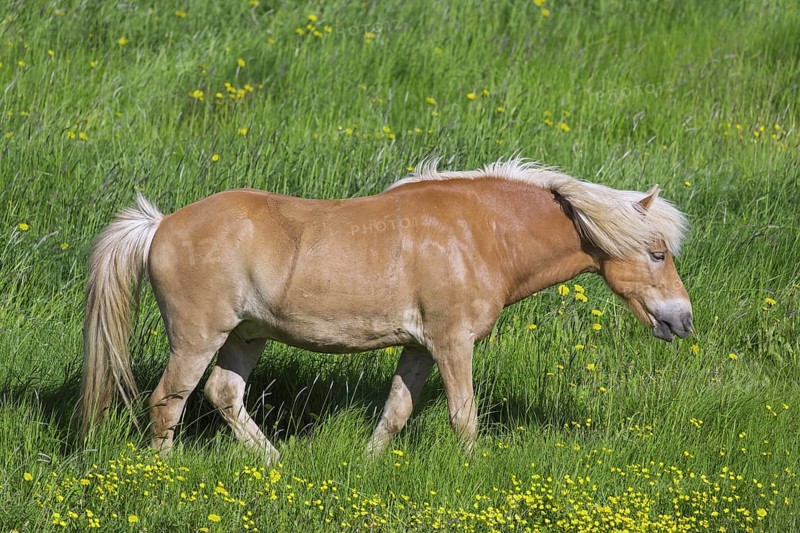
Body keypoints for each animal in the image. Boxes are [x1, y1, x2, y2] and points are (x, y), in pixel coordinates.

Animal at [81, 159, 692, 462]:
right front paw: (471, 472)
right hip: (197, 337)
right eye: (657, 252)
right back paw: (163, 472)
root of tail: (160, 225)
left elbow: (396, 412)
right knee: (168, 401)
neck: (481, 235)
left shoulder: (419, 347)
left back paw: (275, 462)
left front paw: (370, 465)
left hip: (245, 336)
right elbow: (464, 415)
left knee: (223, 394)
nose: (681, 319)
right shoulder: (452, 342)